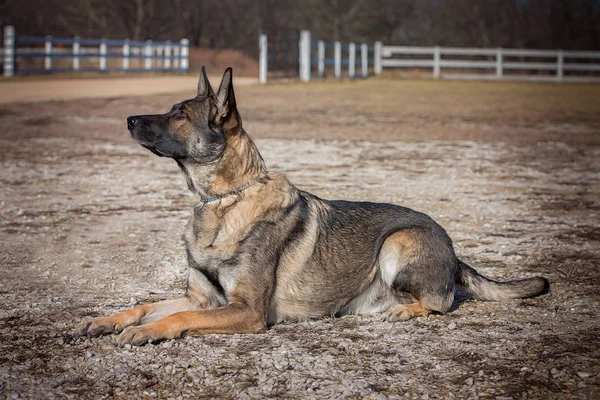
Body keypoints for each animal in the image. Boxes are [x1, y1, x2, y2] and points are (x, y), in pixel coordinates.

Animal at [77, 67, 552, 346]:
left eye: (179, 113)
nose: (128, 120)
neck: (225, 200)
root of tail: (452, 249)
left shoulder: (245, 311)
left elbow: (176, 318)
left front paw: (144, 332)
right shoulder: (203, 298)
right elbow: (146, 305)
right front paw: (108, 321)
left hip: (398, 242)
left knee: (438, 303)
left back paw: (405, 309)